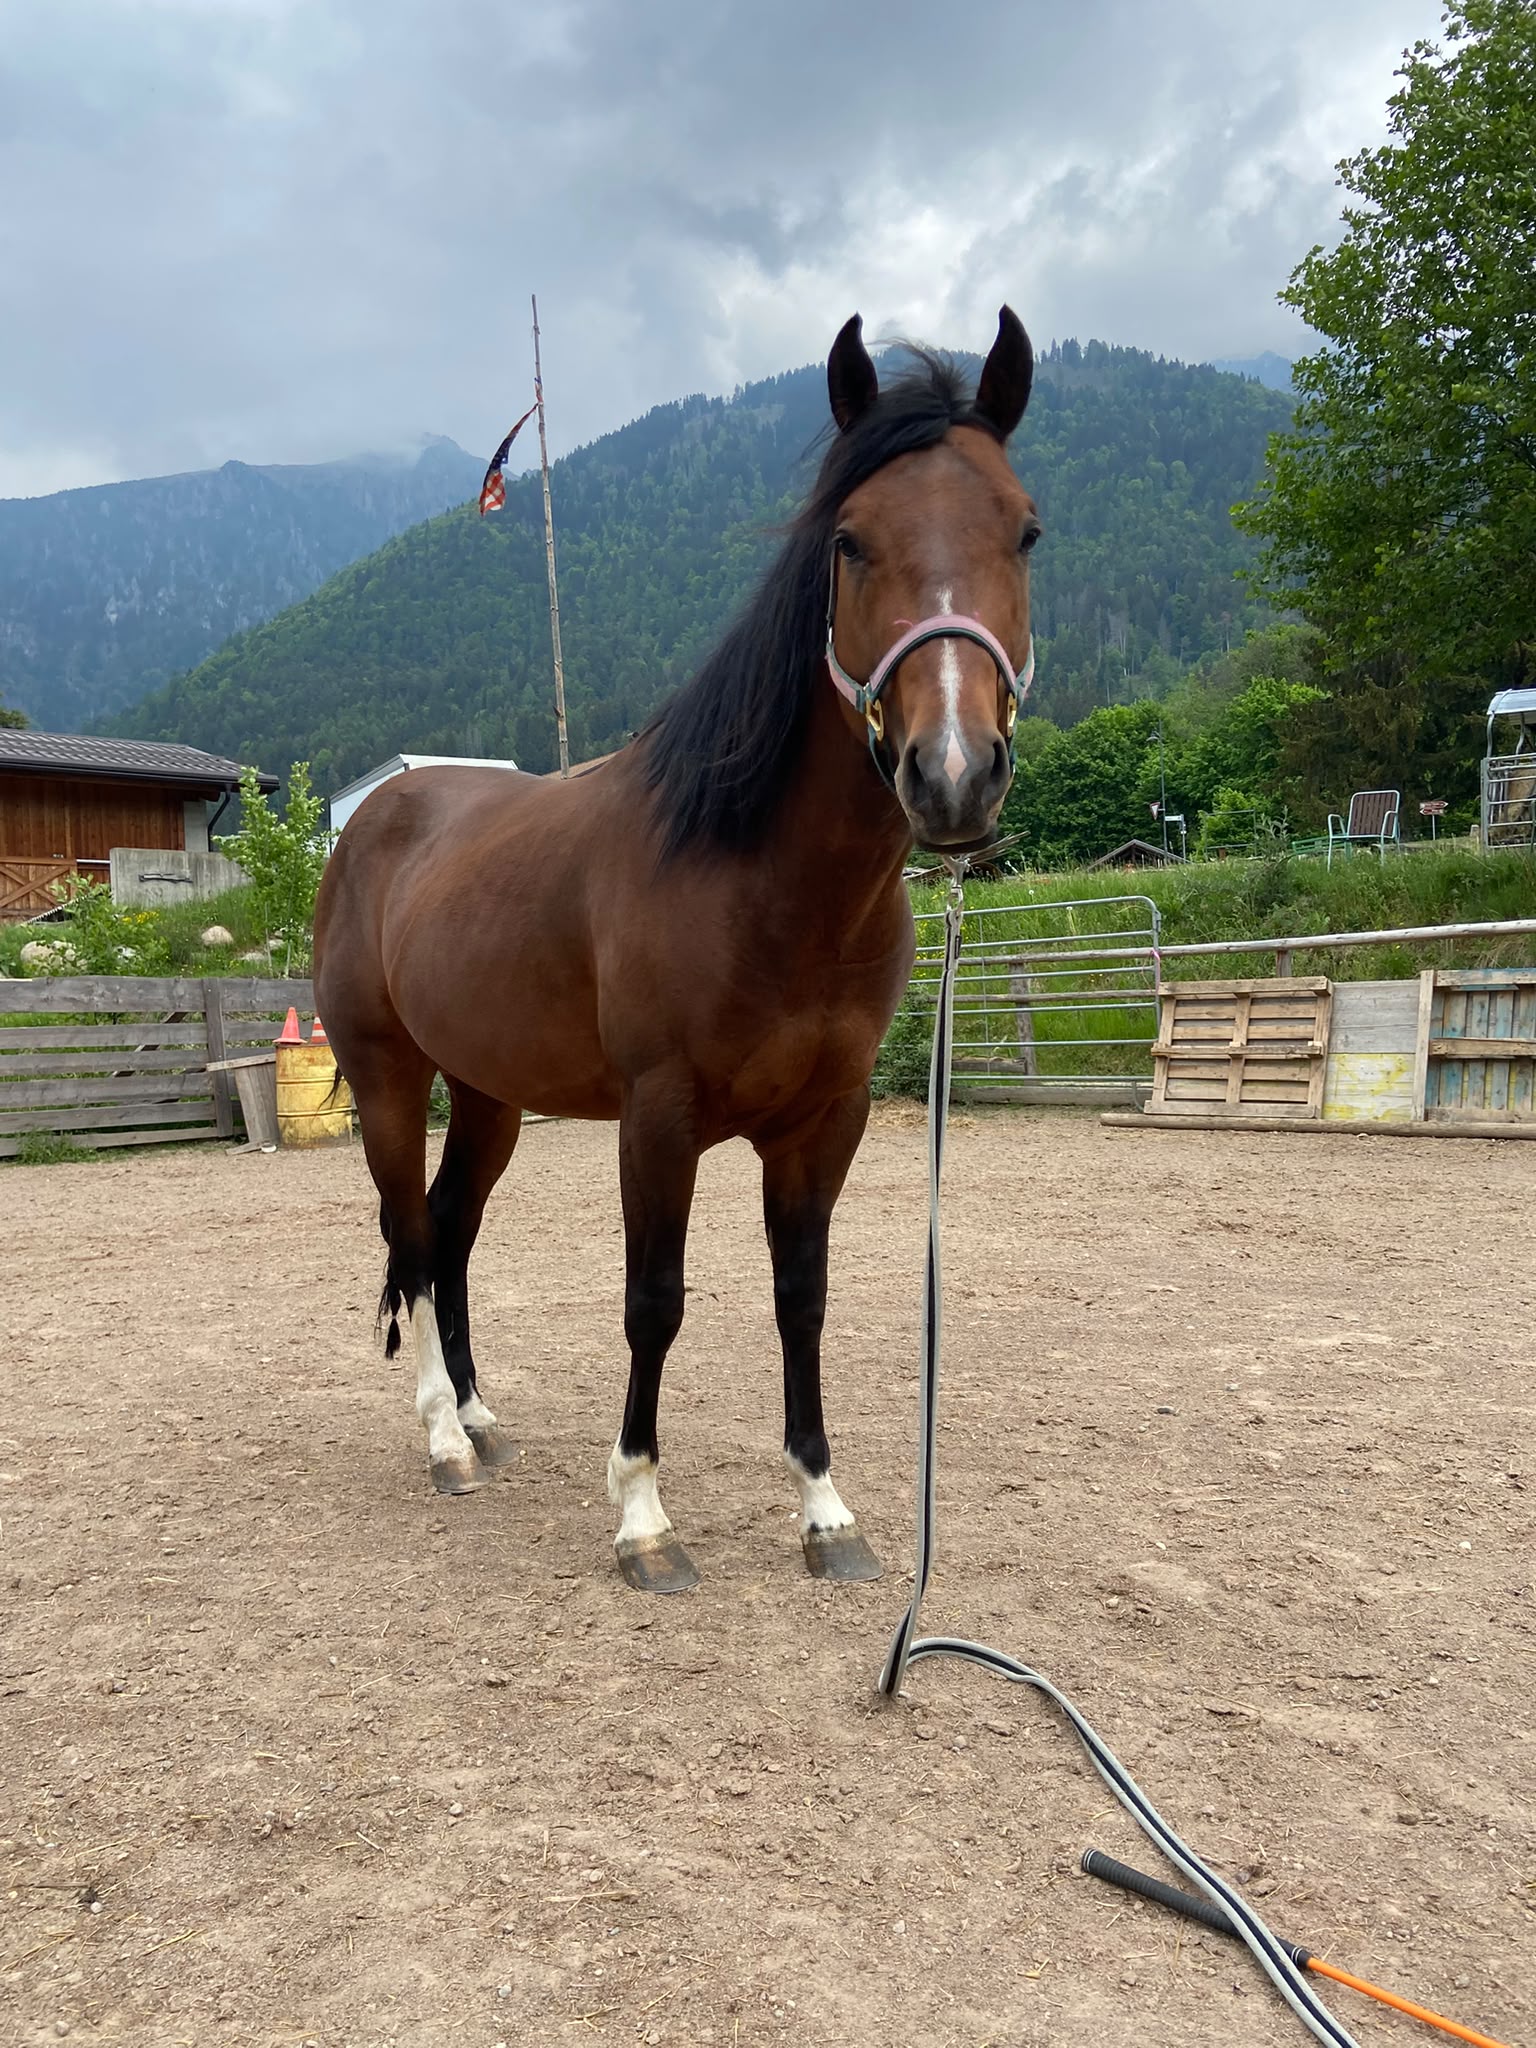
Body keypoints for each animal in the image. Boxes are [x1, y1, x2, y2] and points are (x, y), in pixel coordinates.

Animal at [313, 308, 1041, 1594]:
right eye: (849, 541)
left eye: (1026, 529)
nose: (953, 772)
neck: (762, 881)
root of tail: (373, 821)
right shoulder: (658, 1118)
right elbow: (653, 1300)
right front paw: (643, 1516)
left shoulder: (824, 1120)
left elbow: (801, 1296)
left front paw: (826, 1508)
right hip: (394, 1080)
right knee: (411, 1232)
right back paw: (443, 1435)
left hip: (489, 1094)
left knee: (451, 1230)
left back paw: (480, 1414)